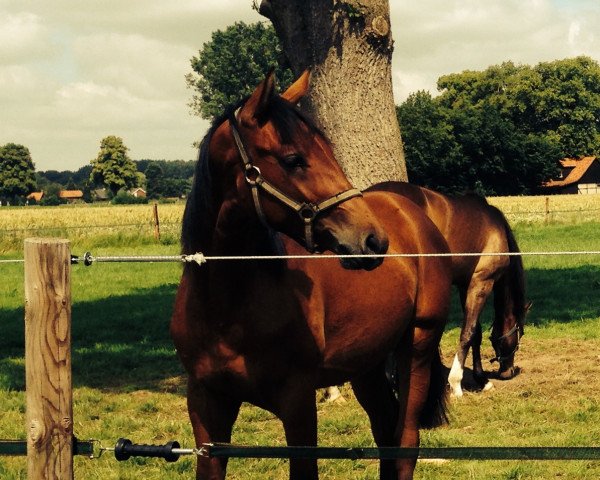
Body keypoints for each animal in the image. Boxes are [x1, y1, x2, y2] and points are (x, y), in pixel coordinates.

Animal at [171, 72, 452, 480]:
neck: (227, 308)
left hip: (416, 349)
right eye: (292, 160)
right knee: (385, 431)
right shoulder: (207, 404)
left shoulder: (298, 401)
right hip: (366, 366)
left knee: (404, 445)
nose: (372, 239)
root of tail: (414, 213)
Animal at [366, 181, 528, 398]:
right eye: (520, 333)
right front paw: (456, 383)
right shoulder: (482, 282)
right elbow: (468, 332)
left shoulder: (464, 284)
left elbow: (476, 333)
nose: (507, 371)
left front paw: (481, 380)